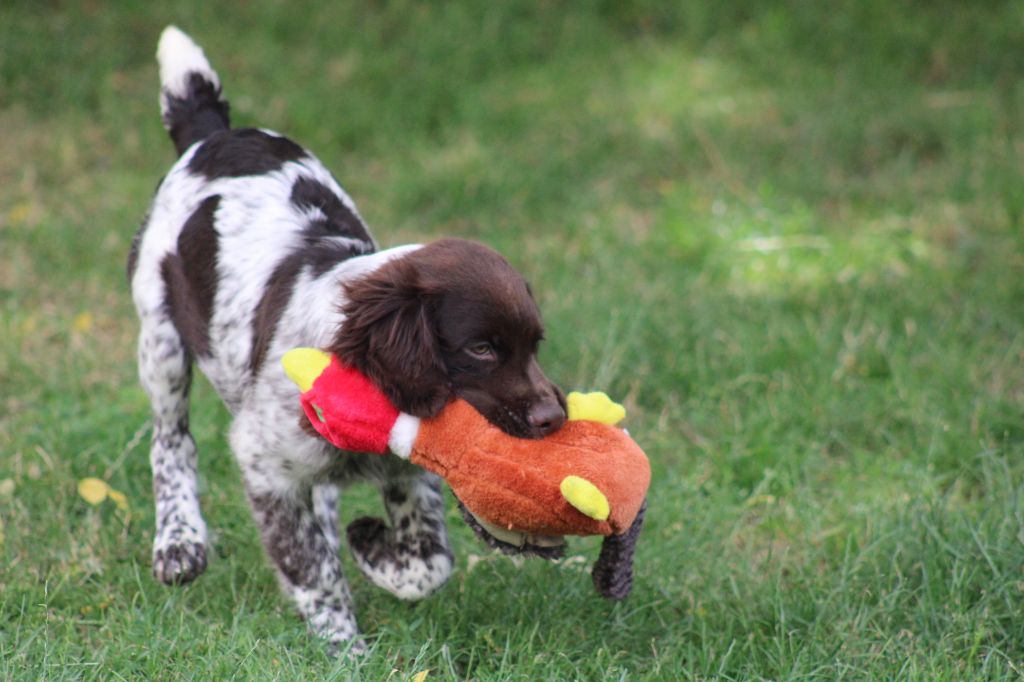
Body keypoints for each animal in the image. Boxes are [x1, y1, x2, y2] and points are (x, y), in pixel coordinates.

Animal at [128, 27, 569, 655]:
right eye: (481, 349)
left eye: (534, 346)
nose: (554, 419)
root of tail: (214, 133)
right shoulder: (264, 464)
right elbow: (310, 566)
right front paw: (345, 650)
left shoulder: (409, 469)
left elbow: (429, 561)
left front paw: (372, 546)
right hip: (160, 335)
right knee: (171, 442)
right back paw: (180, 541)